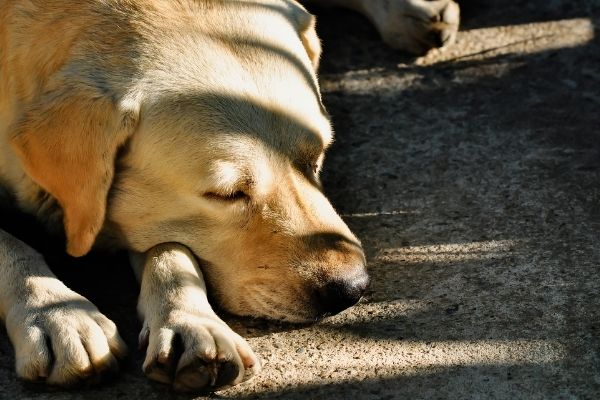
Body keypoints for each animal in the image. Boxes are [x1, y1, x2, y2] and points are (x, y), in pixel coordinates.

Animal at [0, 0, 460, 392]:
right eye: (227, 194)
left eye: (317, 157)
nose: (351, 289)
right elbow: (11, 246)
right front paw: (59, 315)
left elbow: (171, 245)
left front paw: (192, 323)